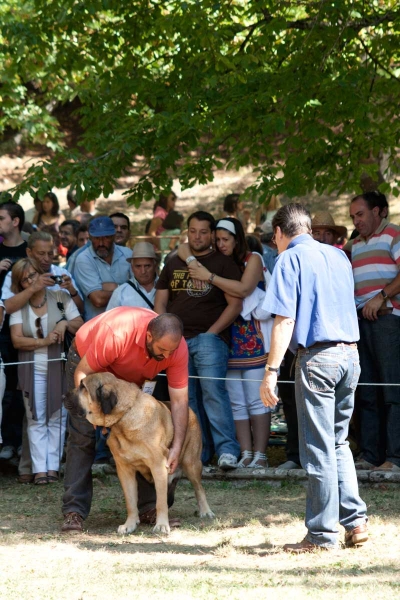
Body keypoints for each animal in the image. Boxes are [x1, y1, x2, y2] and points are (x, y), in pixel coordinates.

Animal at [65, 376, 216, 536]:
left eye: (83, 387)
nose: (63, 396)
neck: (123, 418)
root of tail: (189, 410)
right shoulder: (124, 470)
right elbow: (131, 501)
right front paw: (129, 525)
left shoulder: (159, 466)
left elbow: (161, 502)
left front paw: (162, 525)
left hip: (191, 463)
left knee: (199, 488)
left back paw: (206, 511)